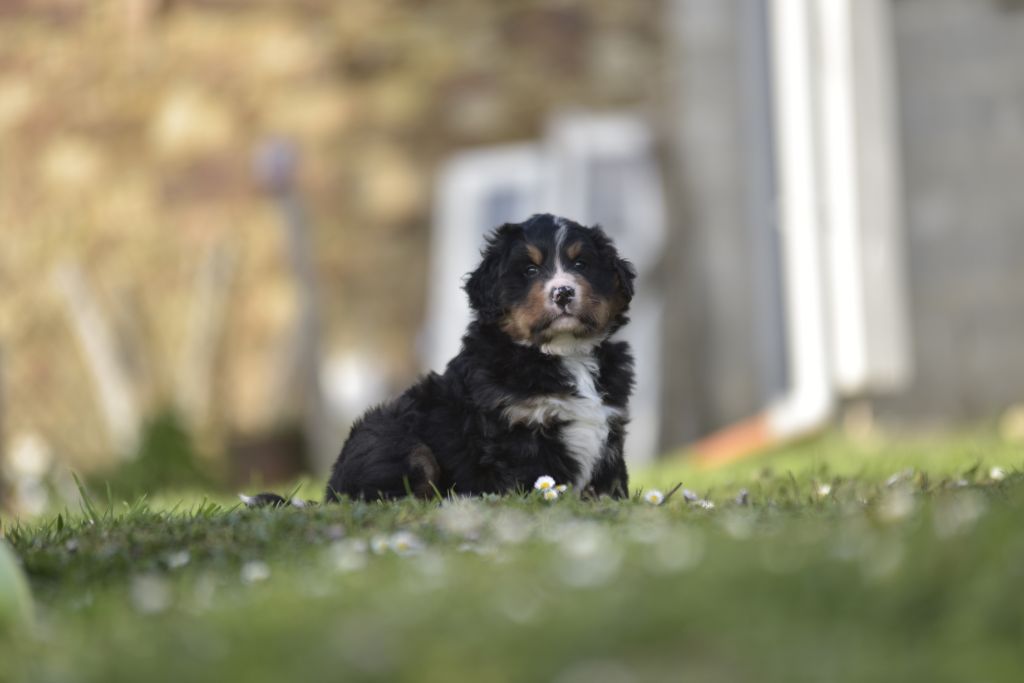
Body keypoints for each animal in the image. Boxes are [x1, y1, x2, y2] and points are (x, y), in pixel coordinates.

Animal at [246, 213, 635, 506]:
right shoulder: (518, 431)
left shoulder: (610, 427)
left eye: (581, 263)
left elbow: (612, 484)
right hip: (401, 443)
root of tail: (330, 493)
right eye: (529, 271)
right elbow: (539, 481)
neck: (563, 353)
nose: (564, 292)